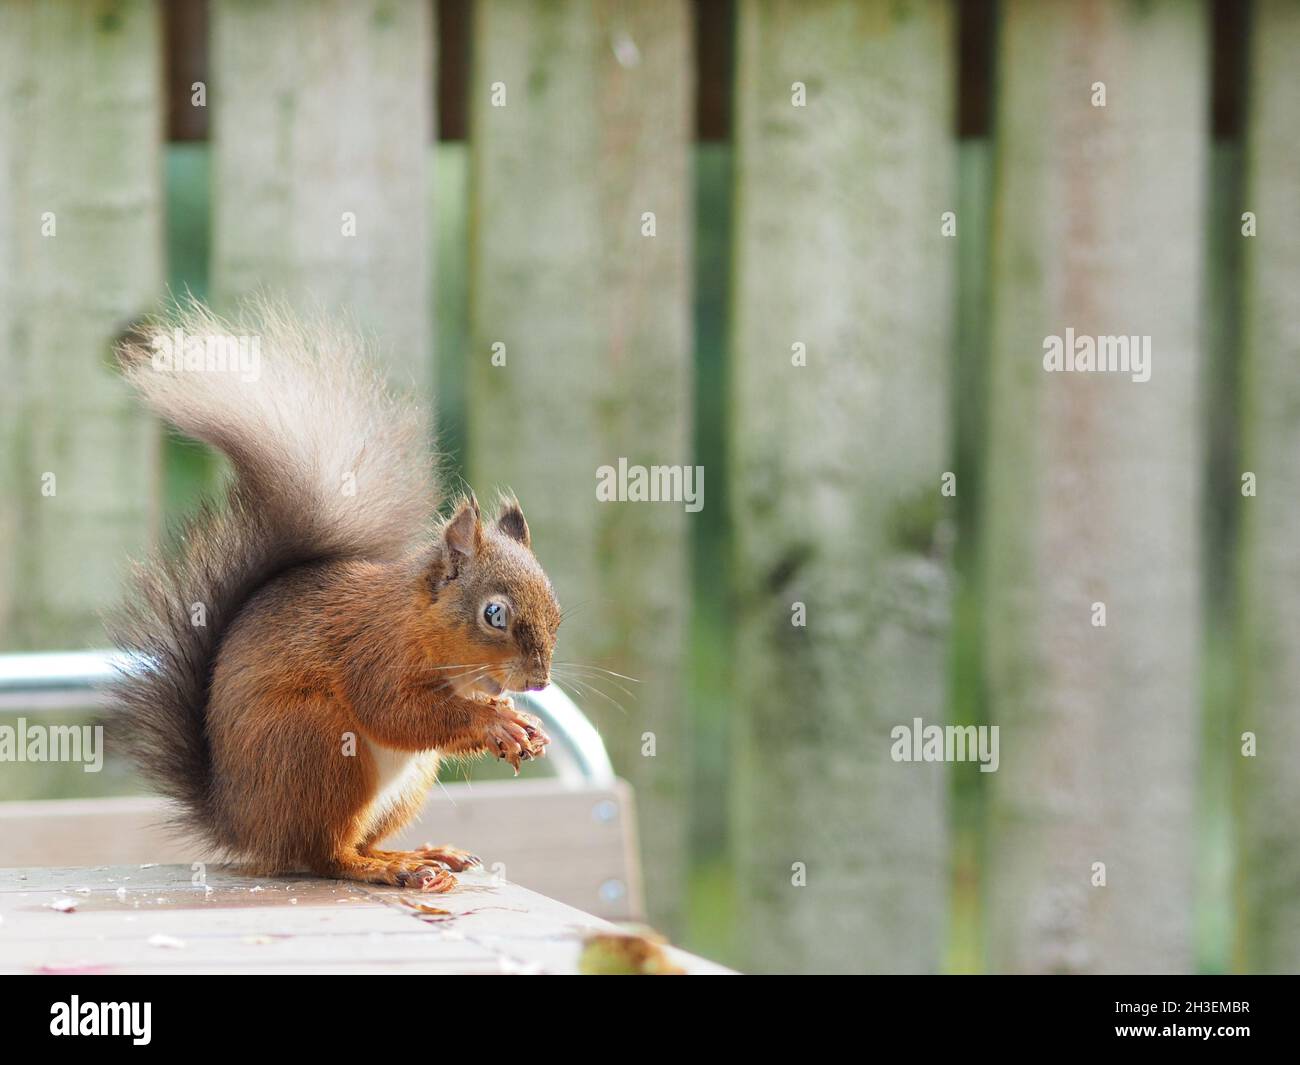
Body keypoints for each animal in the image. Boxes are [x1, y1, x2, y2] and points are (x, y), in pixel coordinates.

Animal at [109, 301, 556, 889]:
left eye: (556, 607)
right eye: (494, 614)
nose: (540, 681)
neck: (419, 622)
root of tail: (241, 823)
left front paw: (520, 721)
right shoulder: (375, 652)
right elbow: (395, 711)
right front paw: (495, 721)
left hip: (403, 781)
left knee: (353, 841)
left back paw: (420, 854)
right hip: (319, 744)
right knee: (327, 854)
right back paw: (390, 868)